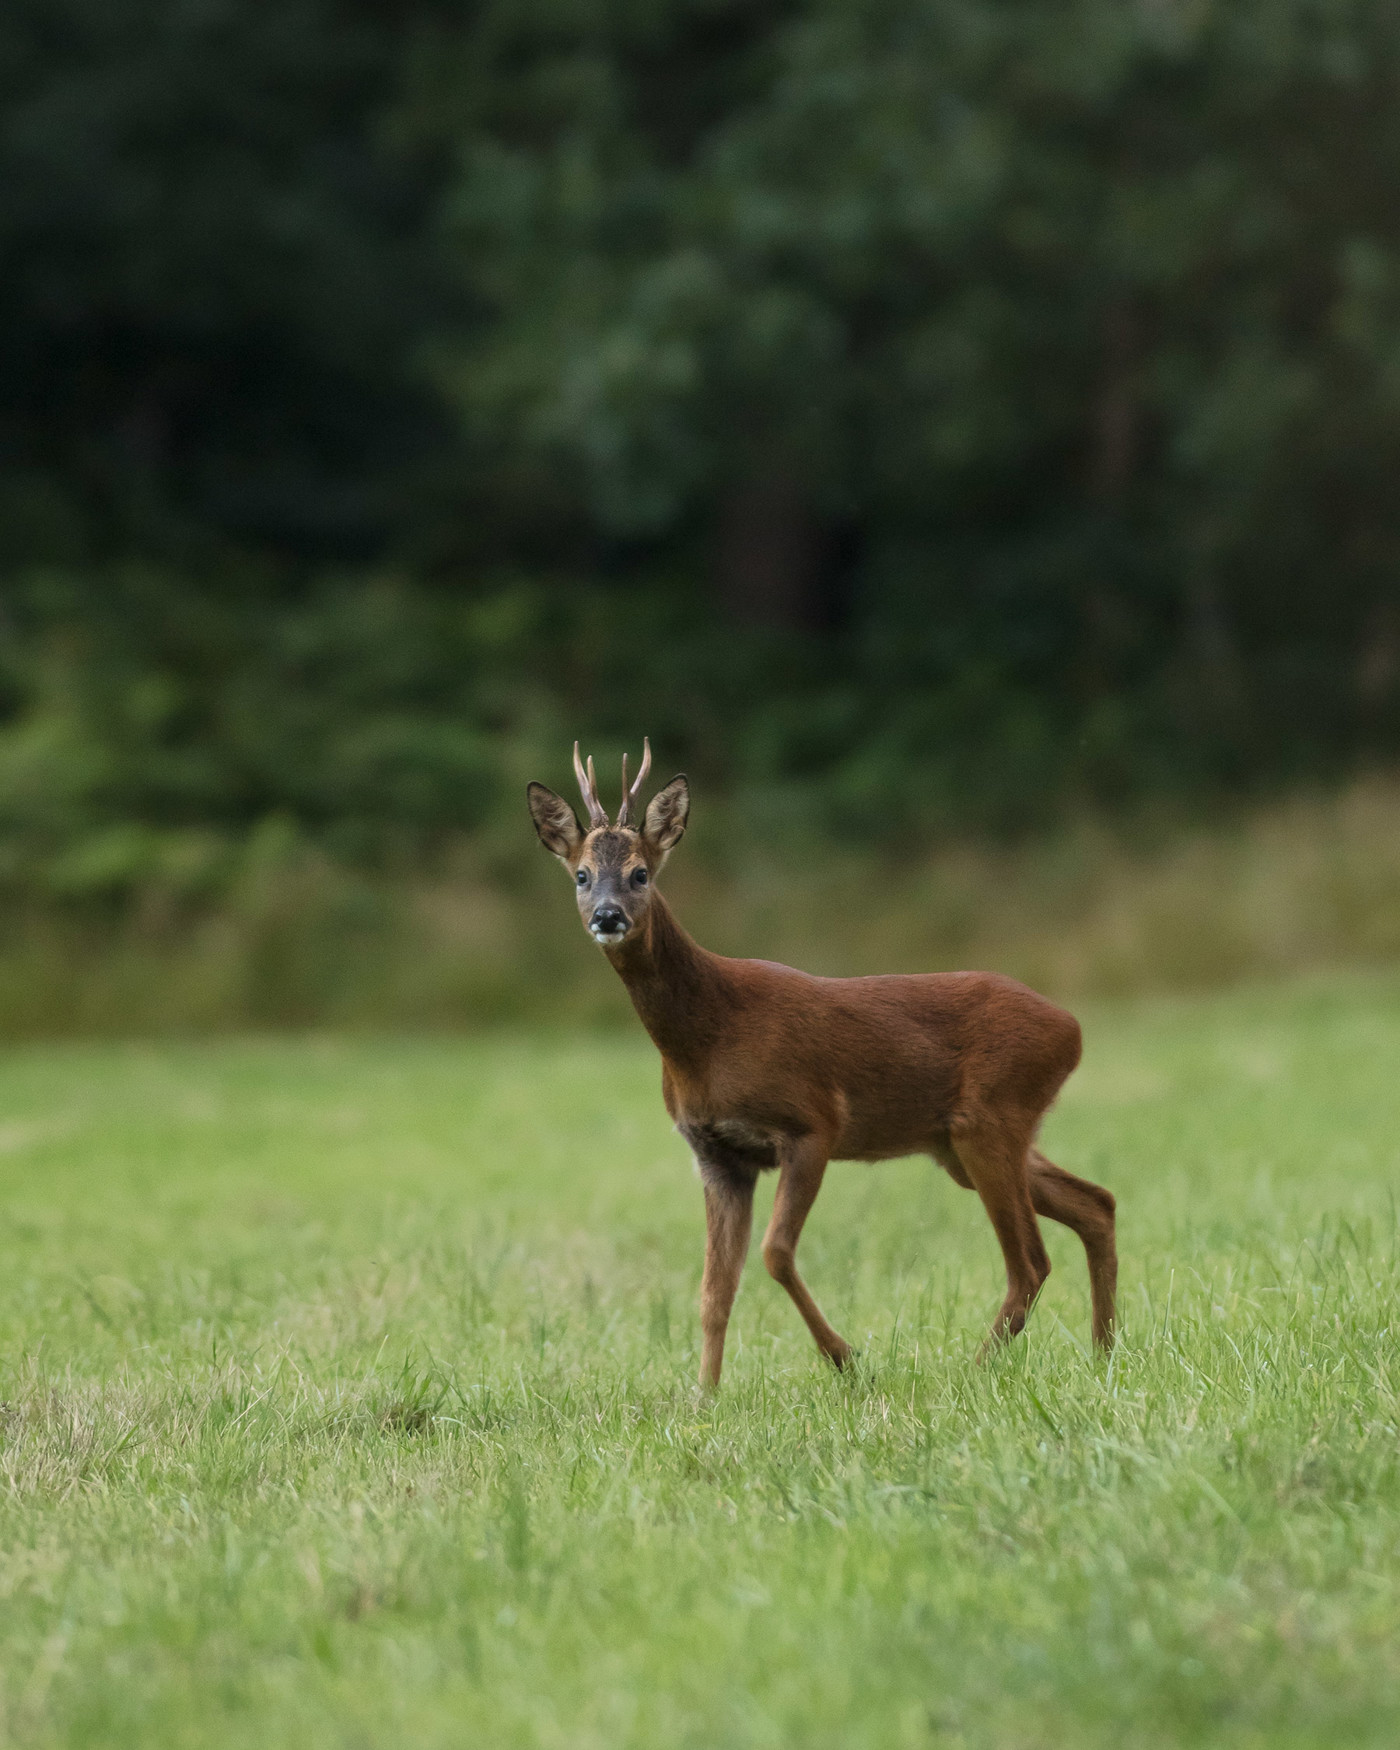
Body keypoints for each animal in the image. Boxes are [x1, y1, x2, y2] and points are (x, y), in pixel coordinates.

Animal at [525, 745, 1113, 1386]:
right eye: (581, 875)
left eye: (640, 873)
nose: (607, 916)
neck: (708, 1037)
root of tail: (1072, 1029)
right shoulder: (717, 1154)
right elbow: (713, 1291)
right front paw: (703, 1396)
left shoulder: (812, 1124)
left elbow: (775, 1253)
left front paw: (846, 1358)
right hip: (959, 1143)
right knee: (1096, 1203)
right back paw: (1106, 1350)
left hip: (989, 1119)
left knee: (1031, 1261)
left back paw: (974, 1369)